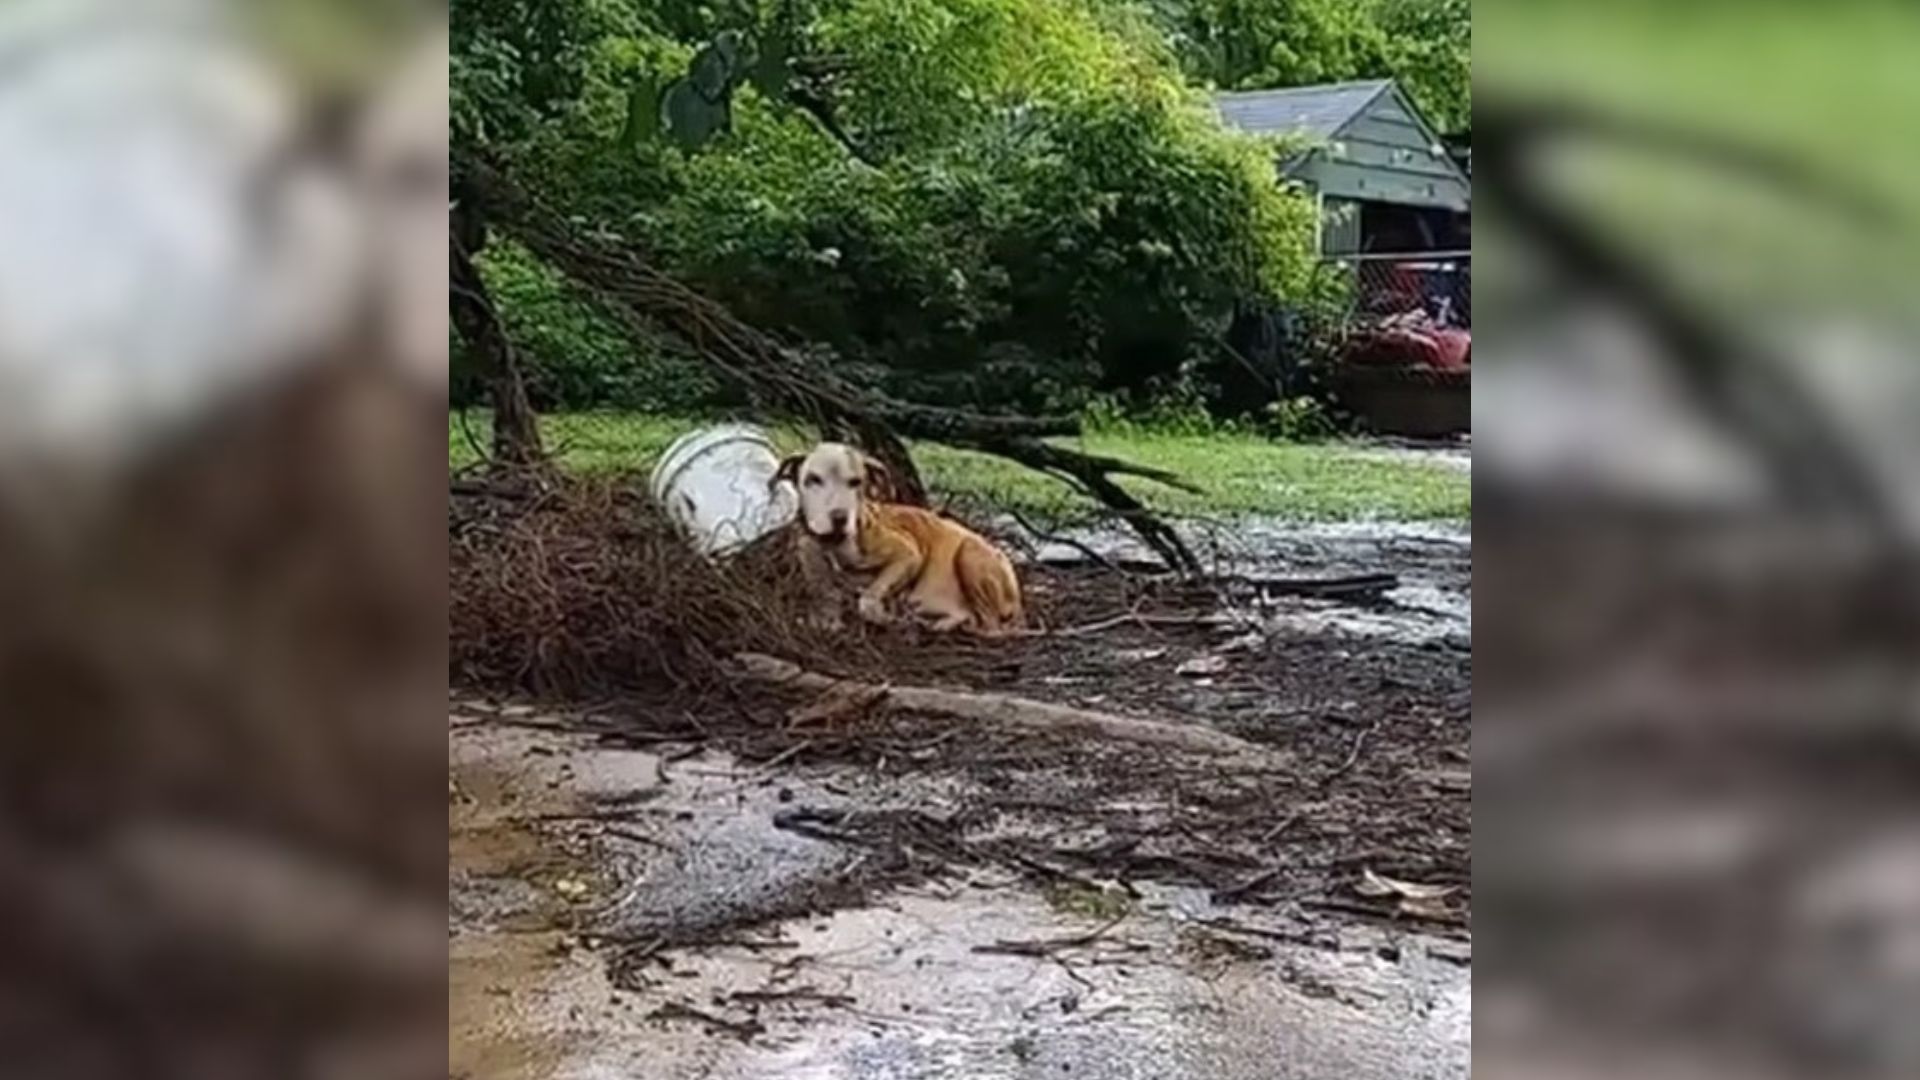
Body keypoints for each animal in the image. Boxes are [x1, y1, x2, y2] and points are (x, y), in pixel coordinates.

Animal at [771, 441, 1029, 634]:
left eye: (855, 482)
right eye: (813, 479)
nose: (839, 517)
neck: (835, 545)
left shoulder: (908, 554)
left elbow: (870, 596)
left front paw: (878, 612)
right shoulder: (808, 550)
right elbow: (822, 589)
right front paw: (825, 617)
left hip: (970, 553)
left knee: (991, 626)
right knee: (966, 616)